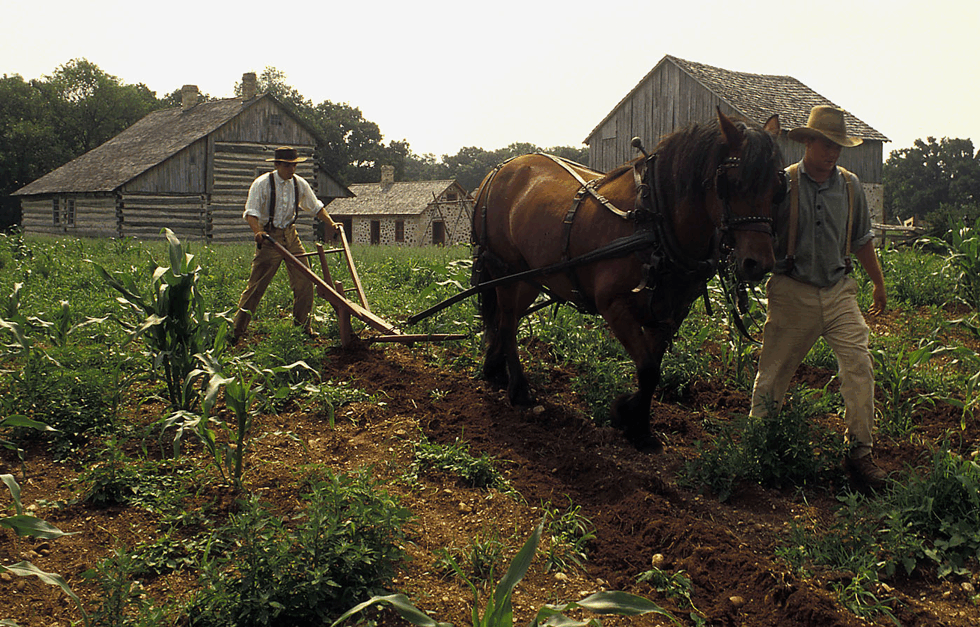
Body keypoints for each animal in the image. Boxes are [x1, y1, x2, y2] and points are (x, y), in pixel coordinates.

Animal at [470, 108, 784, 452]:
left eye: (777, 187)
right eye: (732, 182)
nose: (758, 263)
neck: (655, 221)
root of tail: (497, 171)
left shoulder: (669, 313)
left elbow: (654, 368)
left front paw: (636, 421)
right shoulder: (614, 305)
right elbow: (647, 369)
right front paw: (631, 419)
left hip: (530, 277)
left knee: (506, 320)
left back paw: (495, 370)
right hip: (504, 270)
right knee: (507, 323)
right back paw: (519, 389)